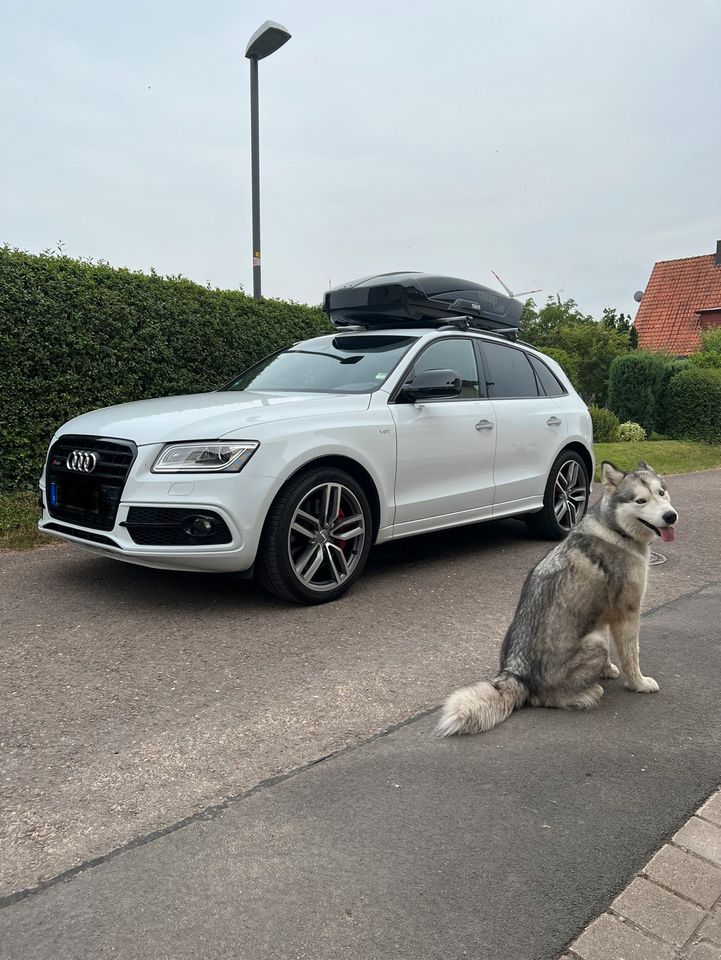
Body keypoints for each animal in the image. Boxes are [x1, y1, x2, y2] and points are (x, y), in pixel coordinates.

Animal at [436, 462, 676, 740]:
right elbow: (631, 657)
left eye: (661, 493)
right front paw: (638, 683)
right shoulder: (627, 614)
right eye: (640, 500)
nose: (671, 516)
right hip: (593, 644)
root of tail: (516, 675)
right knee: (547, 700)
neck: (616, 530)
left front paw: (606, 670)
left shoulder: (602, 616)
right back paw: (588, 693)